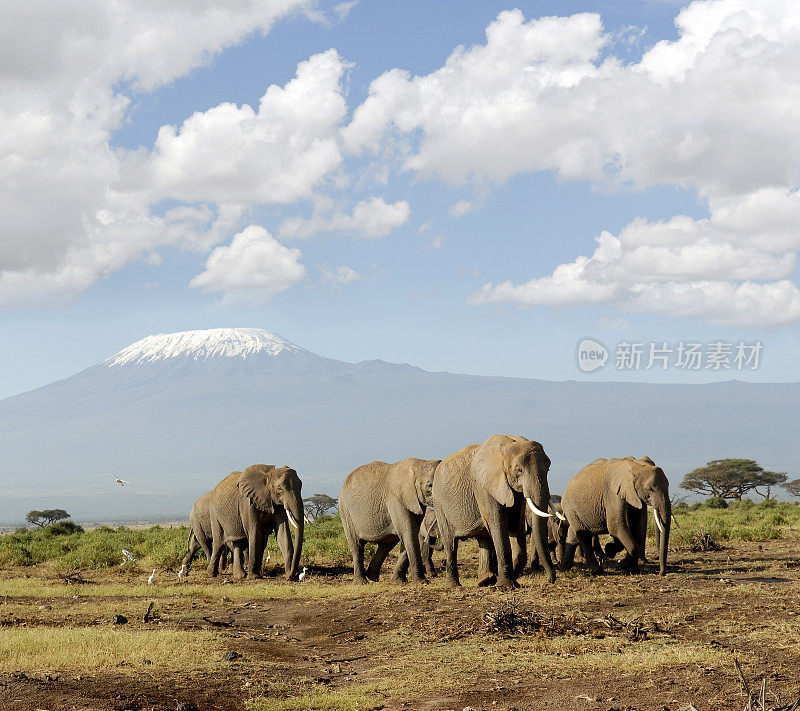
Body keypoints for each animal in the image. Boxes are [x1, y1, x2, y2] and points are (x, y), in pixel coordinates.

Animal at [336, 458, 438, 588]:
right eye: (429, 484)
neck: (420, 464)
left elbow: (409, 534)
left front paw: (399, 582)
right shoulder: (396, 499)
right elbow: (408, 533)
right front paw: (422, 582)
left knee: (386, 545)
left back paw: (372, 577)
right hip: (345, 511)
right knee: (356, 544)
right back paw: (361, 583)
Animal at [432, 434, 556, 588]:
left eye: (548, 469)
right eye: (519, 470)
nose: (551, 580)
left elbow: (516, 525)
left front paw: (513, 581)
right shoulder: (485, 487)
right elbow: (499, 525)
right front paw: (506, 585)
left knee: (483, 539)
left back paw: (485, 581)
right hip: (439, 504)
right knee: (450, 543)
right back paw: (454, 586)